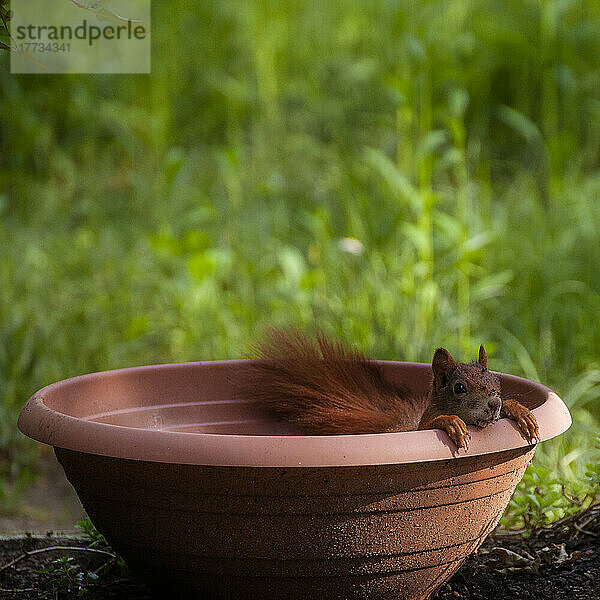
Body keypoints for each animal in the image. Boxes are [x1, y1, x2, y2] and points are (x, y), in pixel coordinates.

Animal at [241, 328, 540, 450]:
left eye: (498, 385)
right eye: (459, 388)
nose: (494, 405)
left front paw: (520, 411)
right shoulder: (421, 428)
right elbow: (435, 423)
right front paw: (452, 422)